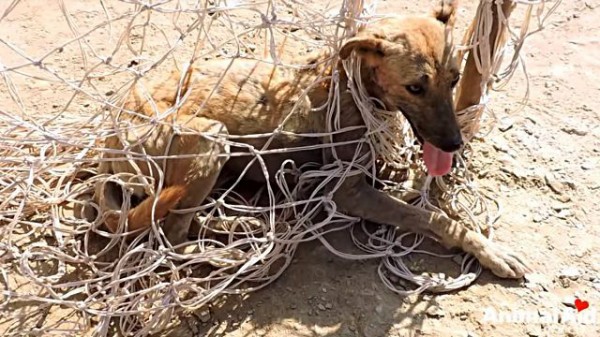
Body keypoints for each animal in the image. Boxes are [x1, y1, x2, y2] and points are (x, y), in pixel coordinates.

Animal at [95, 0, 528, 278]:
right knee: (169, 236)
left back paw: (237, 224)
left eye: (454, 80)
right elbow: (432, 216)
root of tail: (109, 138)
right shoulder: (347, 193)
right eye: (415, 88)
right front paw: (489, 250)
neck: (355, 88)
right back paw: (228, 252)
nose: (455, 144)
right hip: (210, 140)